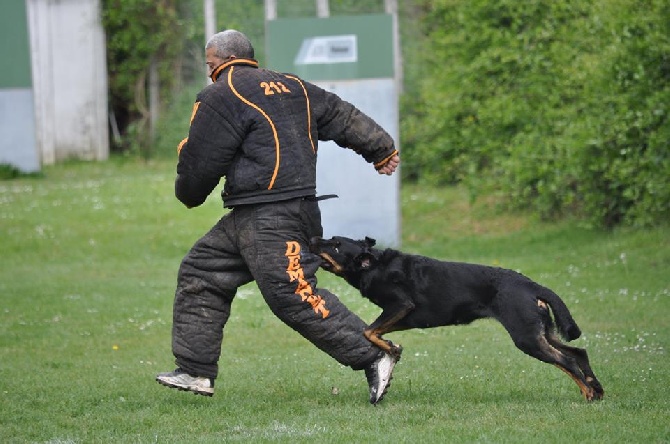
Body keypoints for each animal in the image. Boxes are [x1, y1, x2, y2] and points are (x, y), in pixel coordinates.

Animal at [312, 236, 608, 402]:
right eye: (331, 238)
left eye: (335, 245)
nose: (313, 237)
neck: (374, 265)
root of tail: (532, 285)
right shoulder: (403, 316)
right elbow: (375, 332)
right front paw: (392, 348)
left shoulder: (400, 306)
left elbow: (370, 331)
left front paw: (392, 349)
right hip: (542, 333)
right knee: (579, 353)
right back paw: (596, 390)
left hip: (527, 337)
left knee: (567, 360)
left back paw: (587, 392)